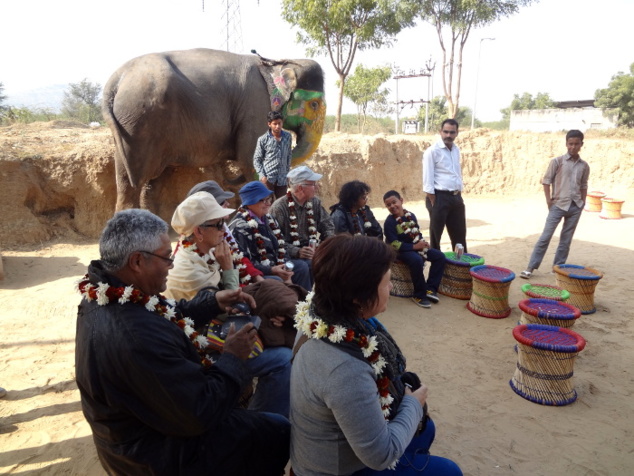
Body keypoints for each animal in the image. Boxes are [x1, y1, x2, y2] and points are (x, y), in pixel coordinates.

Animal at [102, 49, 326, 211]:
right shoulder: (255, 106)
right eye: (314, 104)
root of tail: (114, 80)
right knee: (135, 179)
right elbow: (249, 159)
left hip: (135, 127)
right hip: (137, 123)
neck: (277, 64)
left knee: (147, 180)